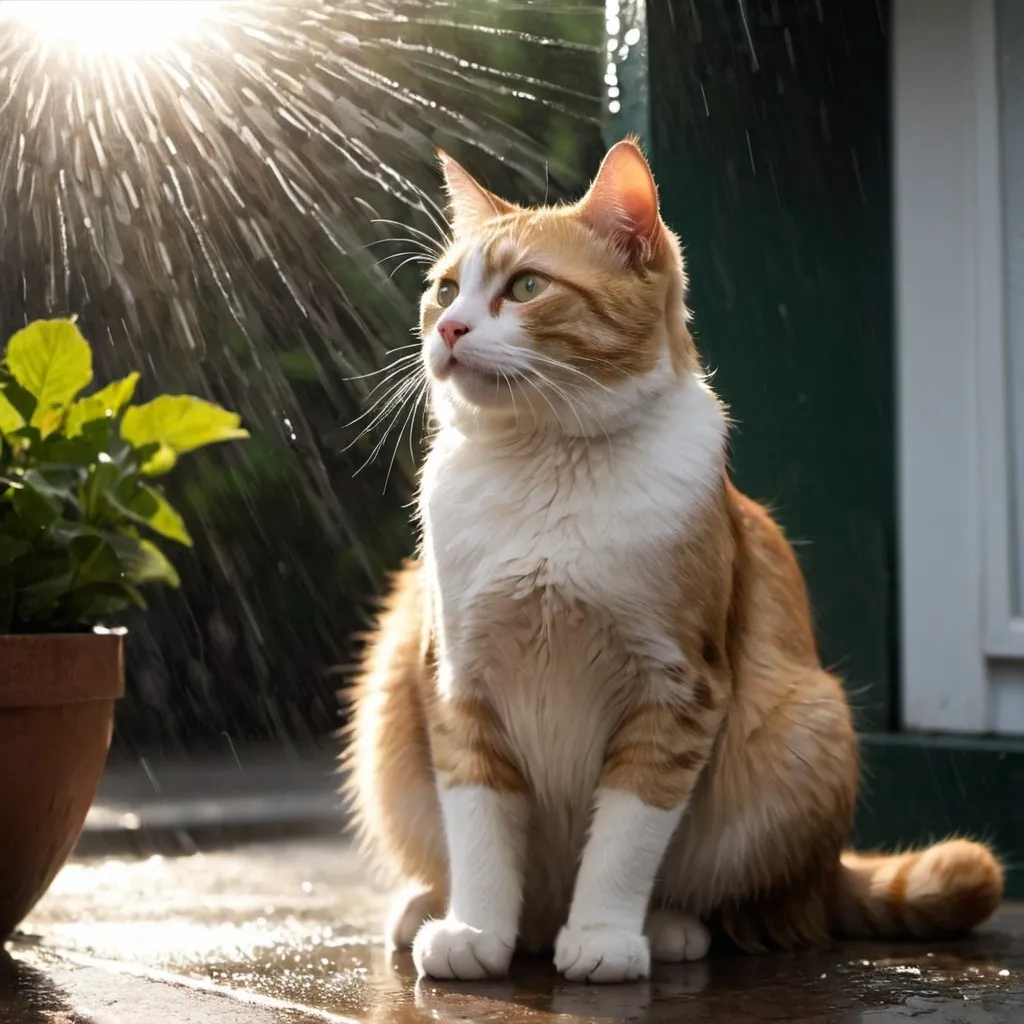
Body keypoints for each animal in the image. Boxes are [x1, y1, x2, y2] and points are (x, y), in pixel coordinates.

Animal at [342, 138, 999, 983]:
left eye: (526, 287)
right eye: (446, 288)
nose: (449, 329)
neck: (548, 467)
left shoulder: (678, 691)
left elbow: (627, 834)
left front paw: (604, 935)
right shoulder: (456, 683)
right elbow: (480, 824)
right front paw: (476, 929)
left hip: (805, 724)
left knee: (753, 903)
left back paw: (669, 927)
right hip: (390, 690)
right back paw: (432, 907)